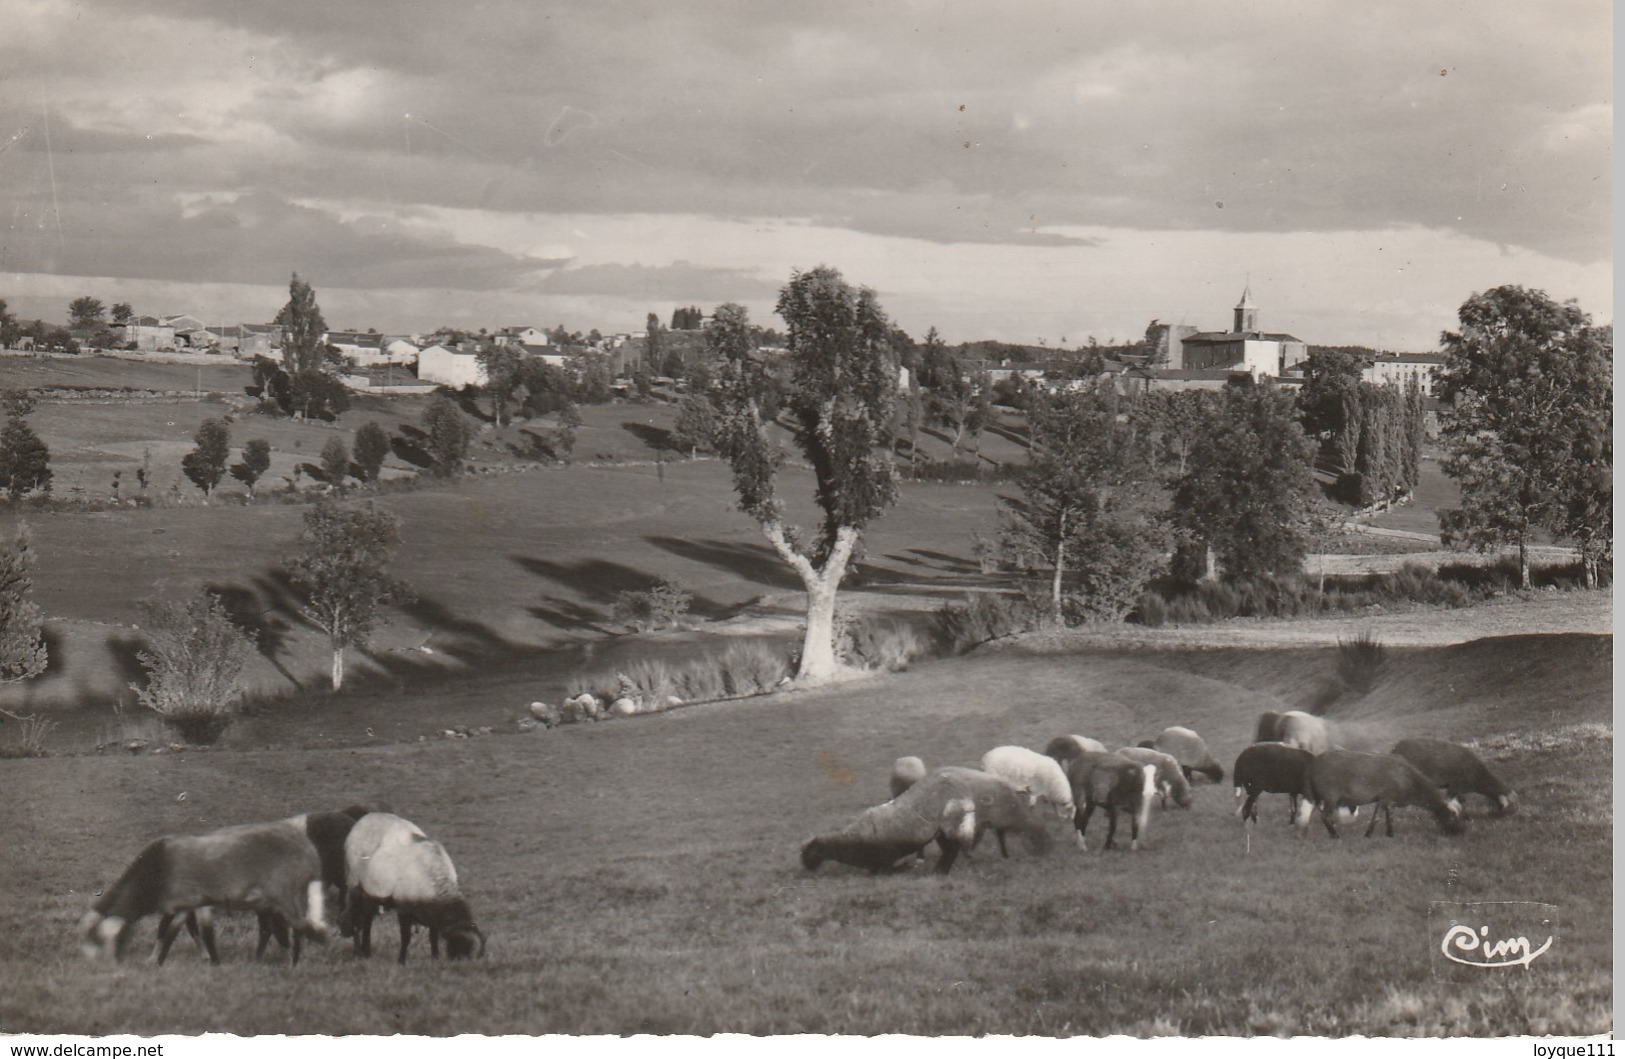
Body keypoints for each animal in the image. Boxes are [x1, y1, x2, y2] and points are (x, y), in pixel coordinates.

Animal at [80, 818, 331, 968]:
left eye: (97, 940)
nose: (97, 968)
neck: (157, 868)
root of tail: (309, 851)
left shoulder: (191, 900)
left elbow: (188, 932)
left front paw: (211, 961)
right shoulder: (188, 904)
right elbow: (177, 931)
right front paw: (164, 960)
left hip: (287, 893)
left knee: (297, 927)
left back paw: (293, 964)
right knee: (281, 928)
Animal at [344, 812, 484, 961]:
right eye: (458, 945)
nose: (457, 964)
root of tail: (365, 818)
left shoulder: (433, 911)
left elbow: (433, 937)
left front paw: (435, 958)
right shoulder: (404, 908)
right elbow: (406, 938)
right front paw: (401, 961)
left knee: (367, 920)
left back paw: (366, 952)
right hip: (355, 887)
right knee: (357, 920)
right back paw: (359, 953)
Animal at [799, 769, 975, 877]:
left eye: (807, 853)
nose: (806, 869)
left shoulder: (885, 860)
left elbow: (891, 870)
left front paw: (907, 867)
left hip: (949, 826)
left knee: (952, 850)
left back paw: (940, 871)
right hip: (942, 831)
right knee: (950, 850)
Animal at [1300, 747, 1469, 838]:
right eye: (1453, 817)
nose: (1461, 832)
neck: (1412, 785)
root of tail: (1313, 765)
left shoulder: (1383, 799)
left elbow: (1381, 818)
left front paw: (1373, 834)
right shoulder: (1388, 797)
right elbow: (1384, 818)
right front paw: (1386, 834)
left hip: (1321, 796)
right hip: (1330, 794)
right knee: (1324, 816)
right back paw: (1335, 835)